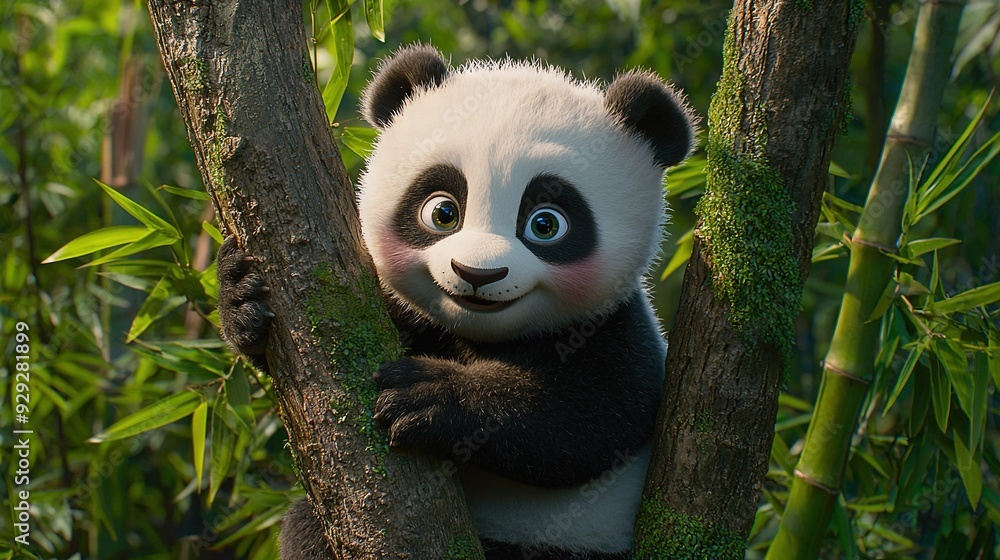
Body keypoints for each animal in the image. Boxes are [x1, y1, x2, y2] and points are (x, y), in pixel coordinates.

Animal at [216, 45, 695, 560]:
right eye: (443, 212)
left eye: (546, 224)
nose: (477, 274)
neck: (480, 333)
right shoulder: (412, 316)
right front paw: (241, 295)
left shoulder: (617, 330)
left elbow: (587, 415)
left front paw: (428, 395)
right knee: (305, 528)